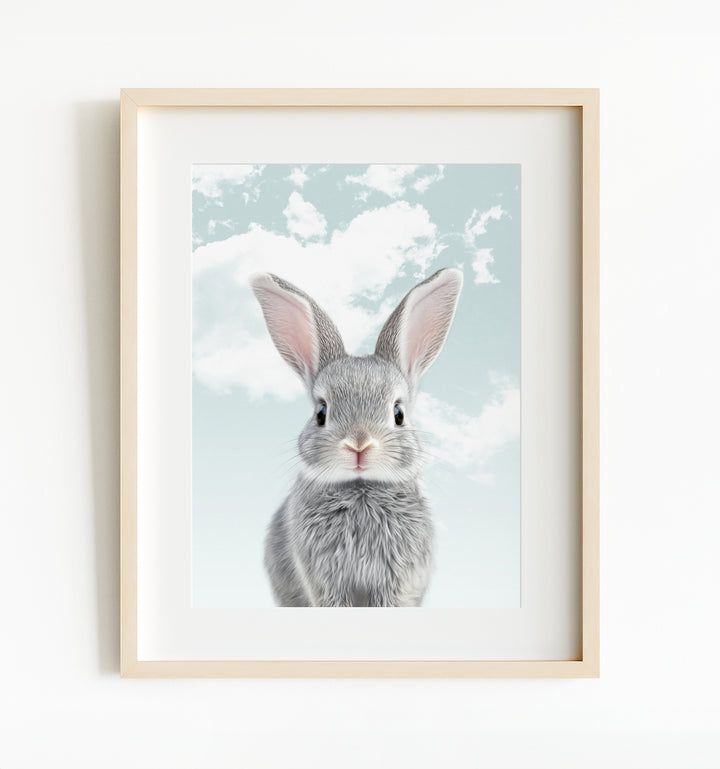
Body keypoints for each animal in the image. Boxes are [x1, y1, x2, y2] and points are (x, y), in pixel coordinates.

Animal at [250, 268, 463, 607]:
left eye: (398, 414)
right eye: (321, 412)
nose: (359, 445)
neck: (361, 486)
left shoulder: (397, 580)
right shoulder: (325, 580)